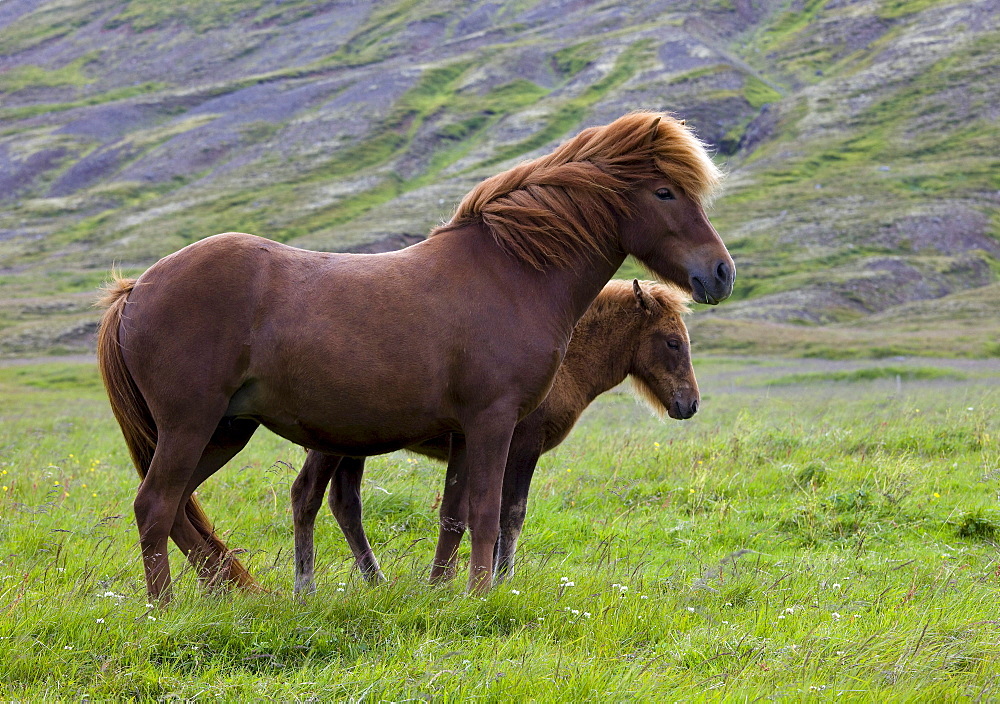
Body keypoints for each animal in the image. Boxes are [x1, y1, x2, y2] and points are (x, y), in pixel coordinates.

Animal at [290, 278, 696, 592]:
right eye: (673, 342)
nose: (690, 404)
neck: (565, 362)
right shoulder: (522, 446)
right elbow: (510, 515)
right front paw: (501, 581)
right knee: (312, 498)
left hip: (350, 445)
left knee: (345, 505)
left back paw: (376, 581)